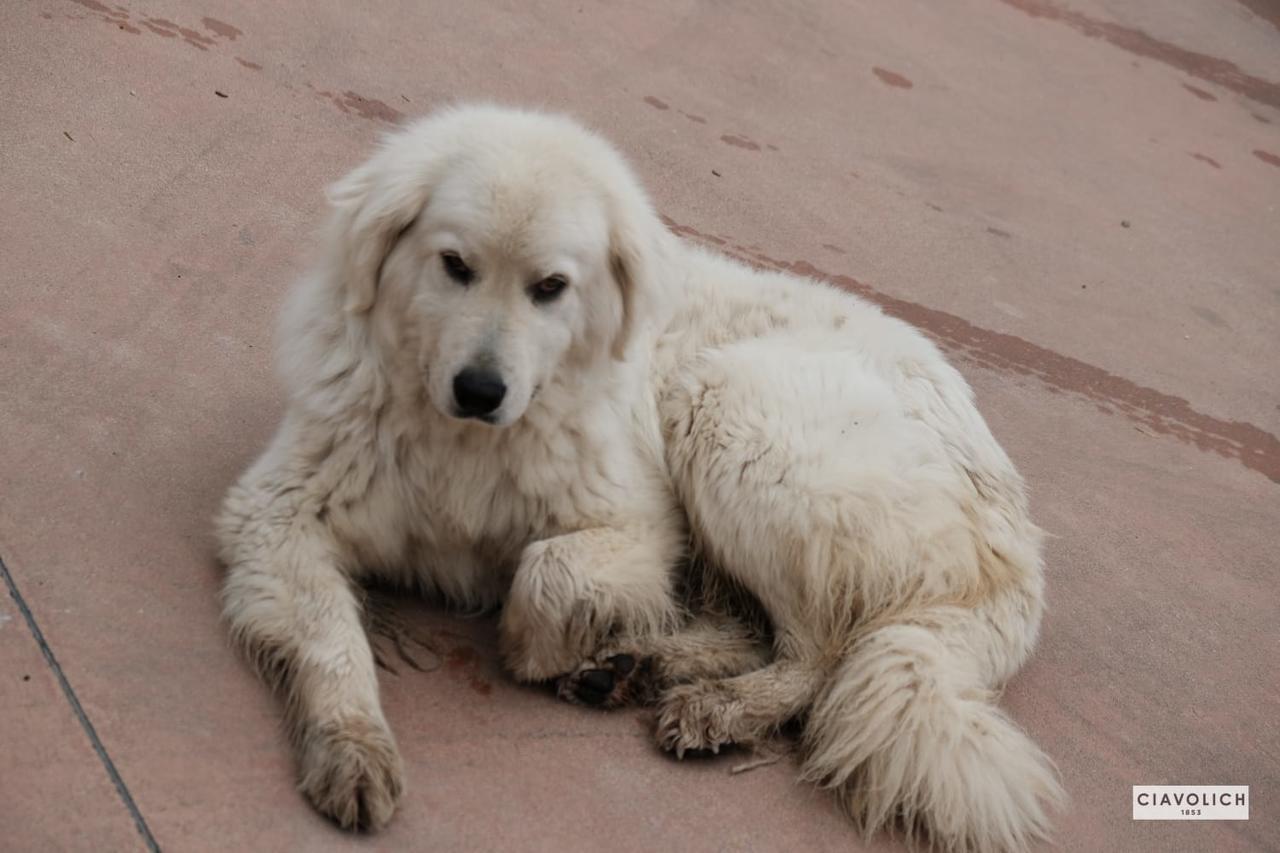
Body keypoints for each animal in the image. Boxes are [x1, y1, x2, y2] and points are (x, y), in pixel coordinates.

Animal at [217, 103, 1059, 845]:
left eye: (550, 287)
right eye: (455, 266)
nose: (481, 389)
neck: (462, 441)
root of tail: (1014, 519)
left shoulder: (643, 527)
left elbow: (545, 572)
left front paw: (537, 646)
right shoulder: (274, 516)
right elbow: (333, 639)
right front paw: (353, 748)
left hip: (727, 407)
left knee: (817, 651)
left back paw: (712, 703)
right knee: (760, 627)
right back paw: (643, 665)